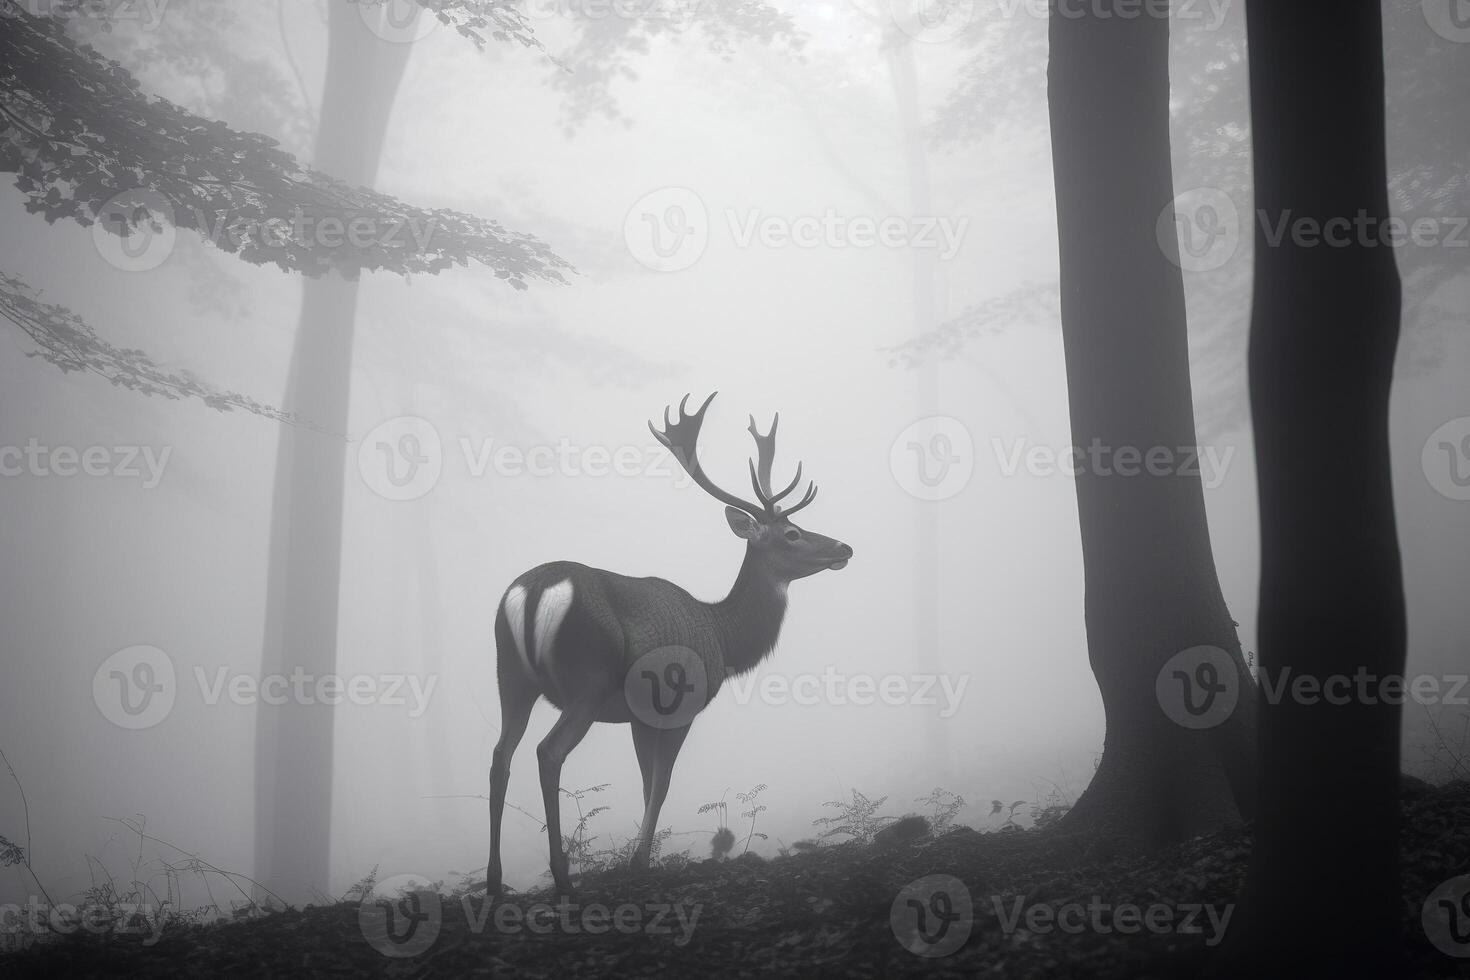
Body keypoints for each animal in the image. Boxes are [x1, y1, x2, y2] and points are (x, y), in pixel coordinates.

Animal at [482, 390, 852, 899]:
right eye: (792, 533)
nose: (844, 548)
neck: (723, 637)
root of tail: (535, 589)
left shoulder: (641, 715)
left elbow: (645, 783)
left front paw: (641, 856)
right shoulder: (680, 704)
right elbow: (661, 784)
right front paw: (639, 862)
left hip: (510, 675)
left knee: (500, 757)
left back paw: (494, 882)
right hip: (588, 679)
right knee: (548, 752)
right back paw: (562, 877)